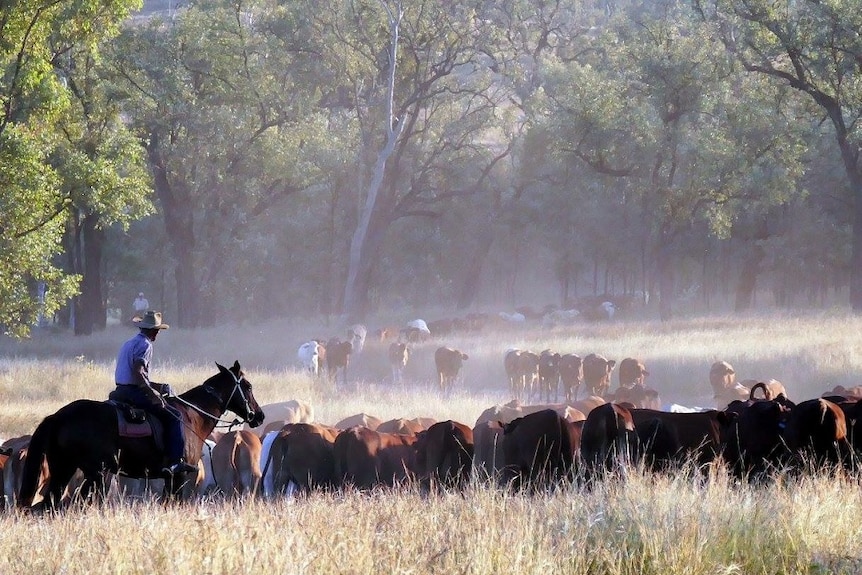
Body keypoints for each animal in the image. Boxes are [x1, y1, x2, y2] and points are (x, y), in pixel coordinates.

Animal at [16, 362, 264, 510]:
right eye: (248, 386)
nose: (259, 416)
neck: (191, 415)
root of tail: (58, 416)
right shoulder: (179, 475)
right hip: (96, 474)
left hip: (64, 468)